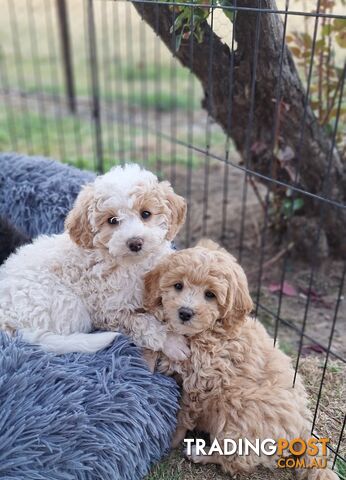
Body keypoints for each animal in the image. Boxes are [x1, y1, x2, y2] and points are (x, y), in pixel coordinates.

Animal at [0, 163, 189, 358]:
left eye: (146, 214)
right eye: (112, 220)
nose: (135, 242)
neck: (133, 264)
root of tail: (8, 319)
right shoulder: (108, 310)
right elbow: (142, 323)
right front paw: (172, 342)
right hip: (69, 305)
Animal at [143, 240, 338, 480]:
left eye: (210, 295)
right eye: (178, 285)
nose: (185, 313)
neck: (207, 332)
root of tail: (303, 426)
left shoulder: (201, 383)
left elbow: (184, 414)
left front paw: (171, 440)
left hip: (239, 414)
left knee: (236, 461)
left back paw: (201, 454)